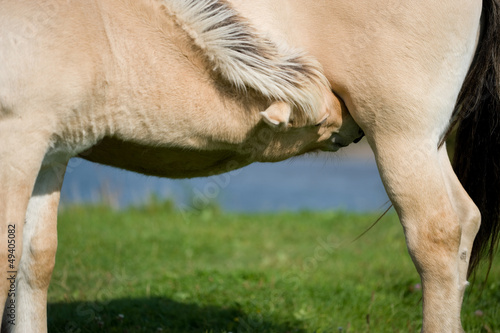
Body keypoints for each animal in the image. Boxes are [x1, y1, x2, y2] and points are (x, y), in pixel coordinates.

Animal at [0, 0, 500, 330]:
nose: (343, 122)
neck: (94, 28)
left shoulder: (22, 138)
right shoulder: (49, 148)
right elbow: (34, 261)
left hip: (402, 133)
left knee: (435, 236)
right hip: (427, 139)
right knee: (466, 221)